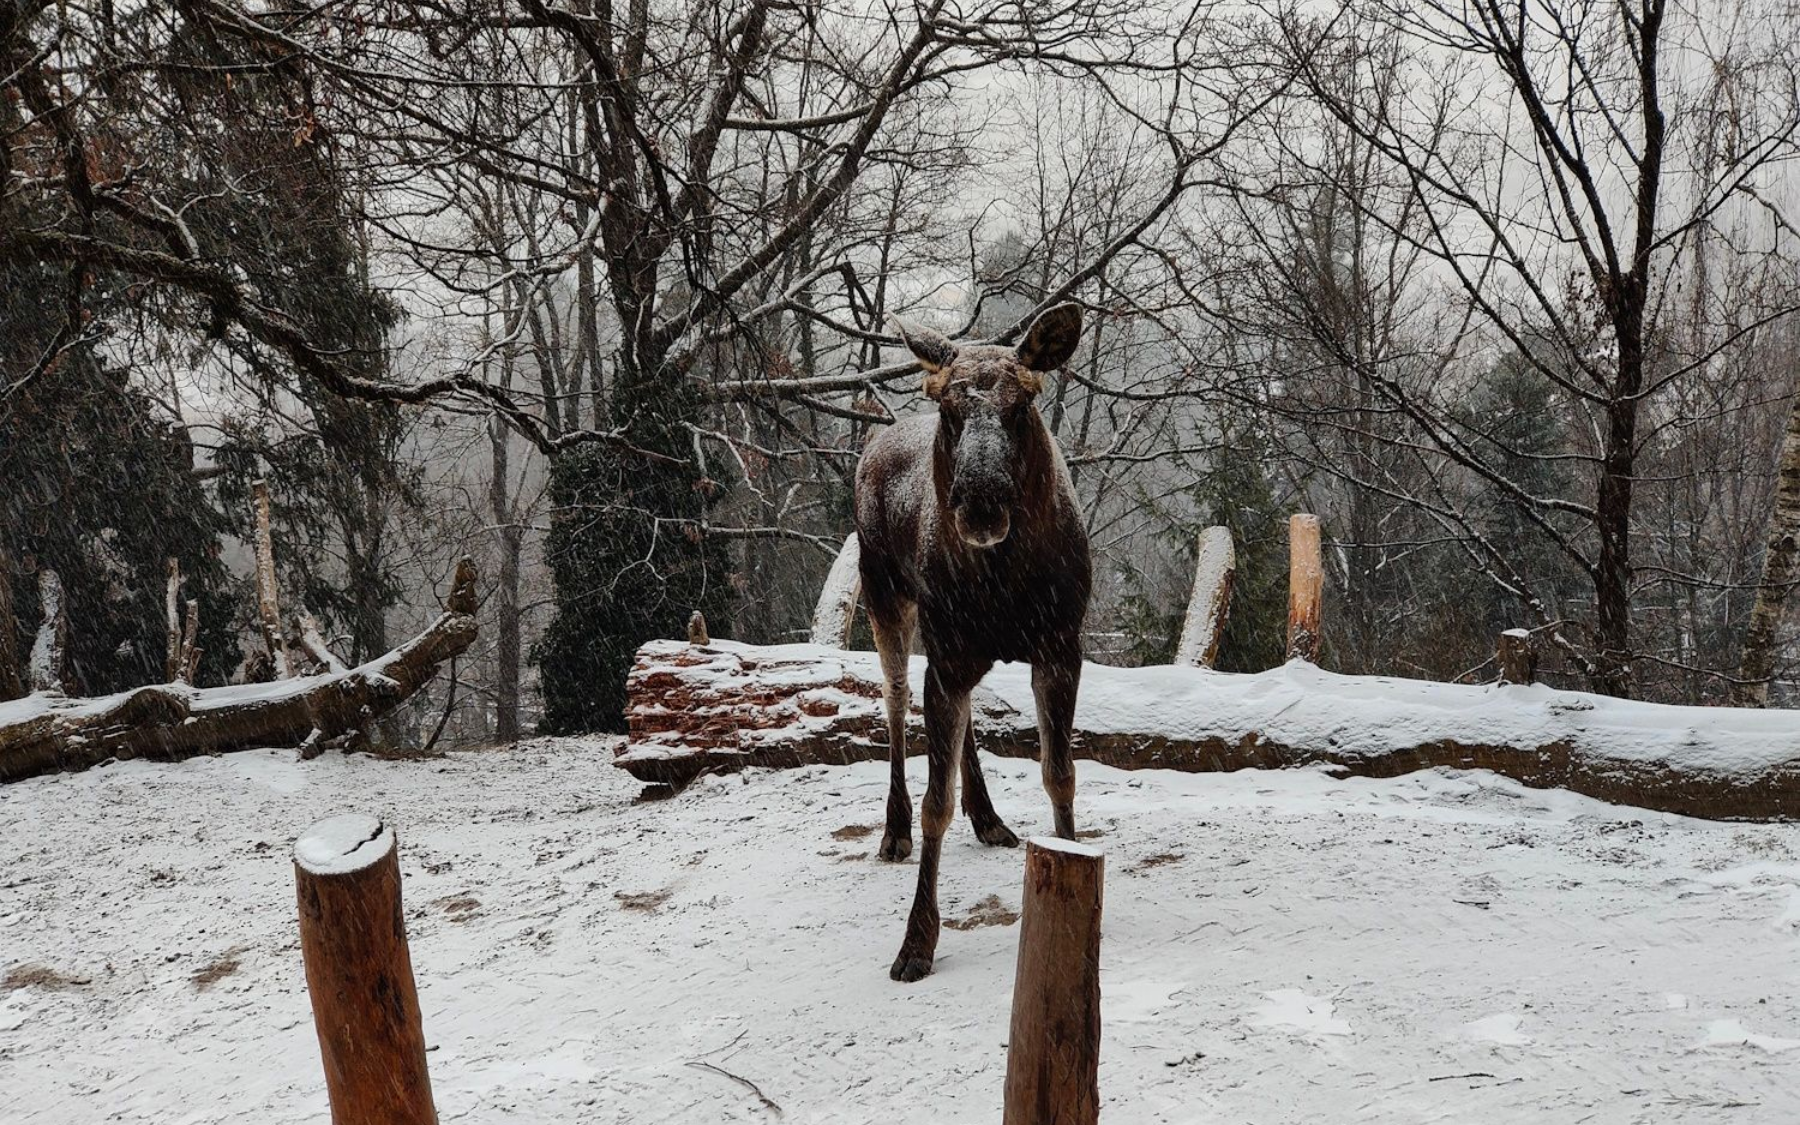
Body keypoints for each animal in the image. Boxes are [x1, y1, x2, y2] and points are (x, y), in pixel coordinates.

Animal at [853, 302, 1092, 982]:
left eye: (1021, 405)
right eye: (949, 407)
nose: (982, 502)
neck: (1003, 582)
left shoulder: (1060, 647)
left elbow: (1059, 774)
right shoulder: (949, 654)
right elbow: (936, 803)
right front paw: (916, 942)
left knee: (960, 730)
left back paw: (988, 817)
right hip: (885, 596)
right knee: (893, 699)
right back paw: (894, 829)